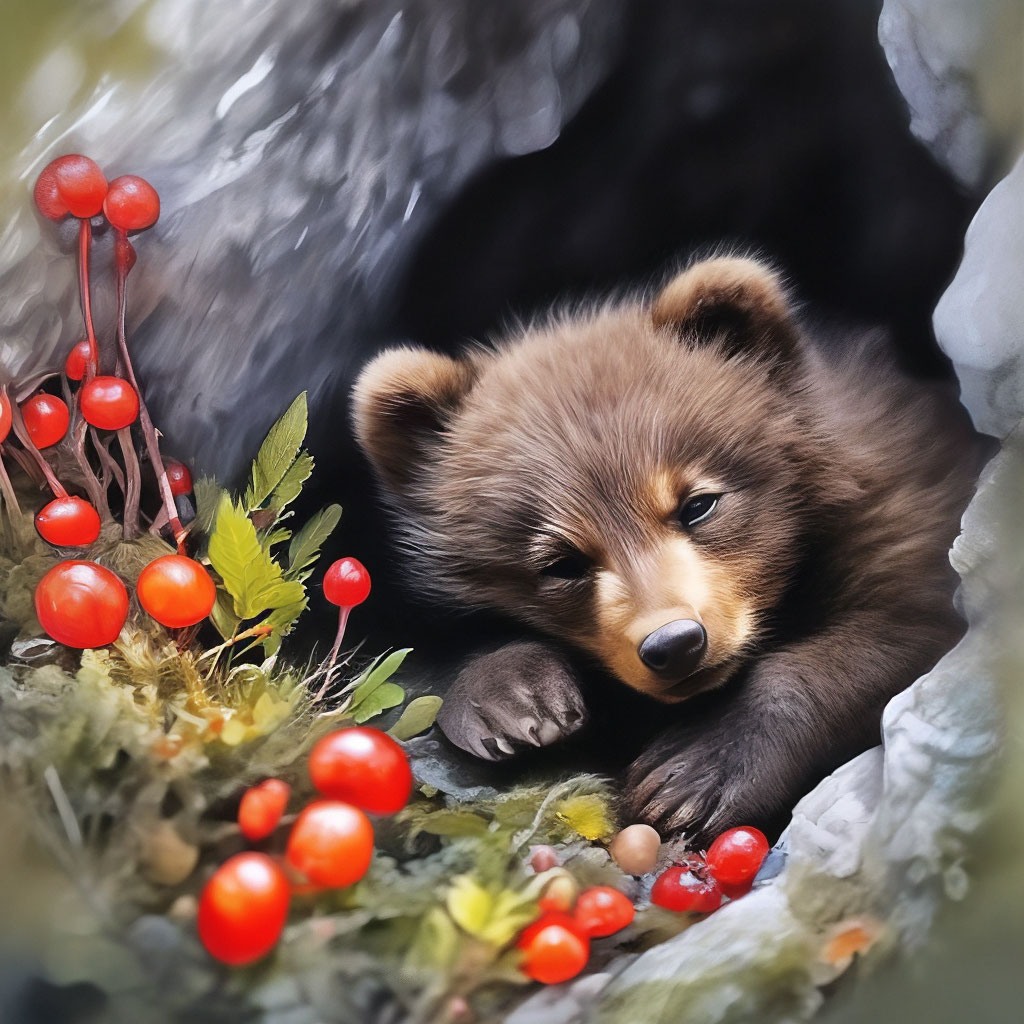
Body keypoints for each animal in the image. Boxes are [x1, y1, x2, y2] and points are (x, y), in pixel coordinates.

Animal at [351, 255, 980, 844]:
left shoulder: (905, 505)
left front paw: (696, 772)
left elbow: (897, 632)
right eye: (560, 562)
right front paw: (511, 697)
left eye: (697, 504)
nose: (674, 643)